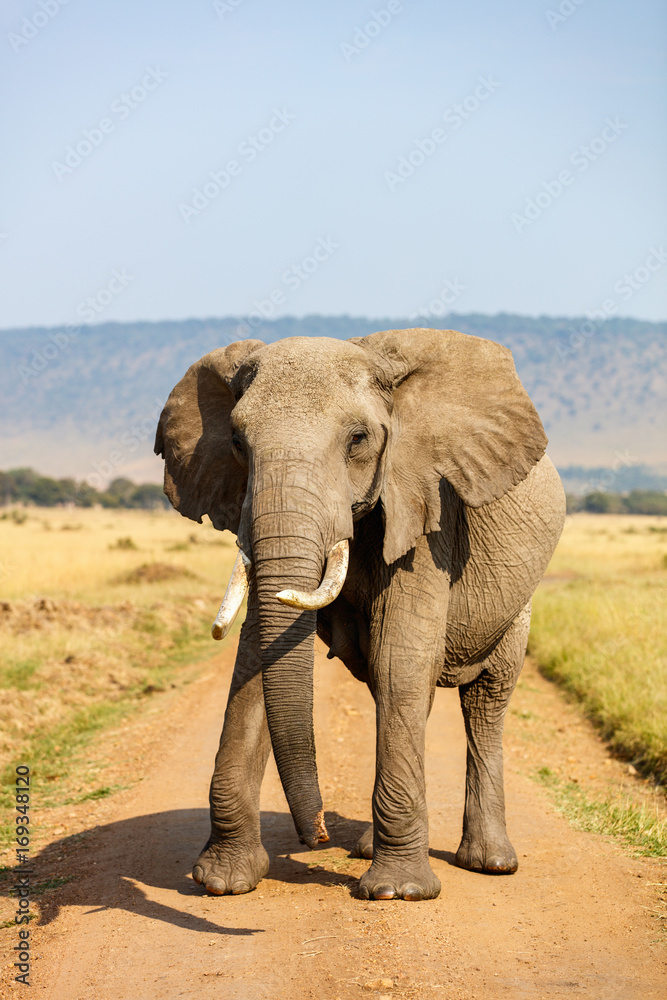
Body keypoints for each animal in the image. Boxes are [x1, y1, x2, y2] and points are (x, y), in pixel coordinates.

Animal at [155, 327, 565, 901]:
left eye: (358, 439)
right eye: (236, 442)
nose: (318, 835)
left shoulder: (430, 509)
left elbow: (400, 657)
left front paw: (398, 893)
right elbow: (257, 658)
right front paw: (222, 881)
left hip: (517, 607)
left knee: (485, 701)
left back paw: (490, 863)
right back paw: (372, 848)